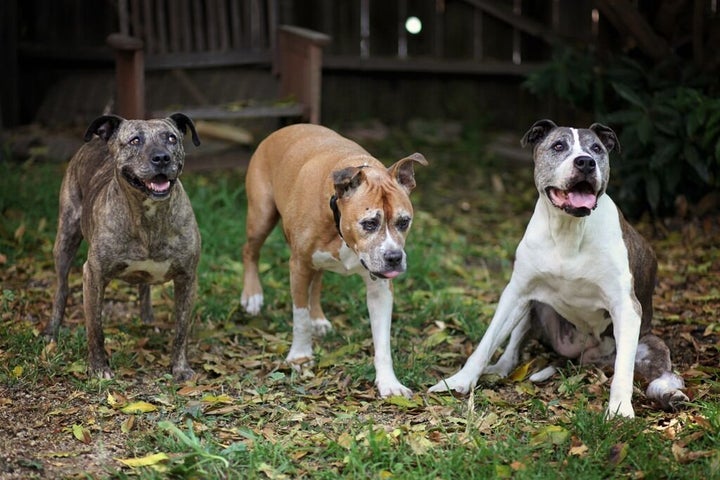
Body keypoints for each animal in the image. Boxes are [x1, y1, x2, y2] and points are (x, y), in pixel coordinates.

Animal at [242, 124, 424, 398]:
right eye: (369, 223)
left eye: (404, 222)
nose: (394, 257)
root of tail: (288, 128)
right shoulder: (298, 266)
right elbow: (300, 317)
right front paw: (300, 356)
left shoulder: (380, 288)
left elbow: (383, 342)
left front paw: (389, 382)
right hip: (261, 216)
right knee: (250, 251)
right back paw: (252, 295)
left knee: (316, 282)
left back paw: (318, 319)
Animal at [428, 119, 688, 416]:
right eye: (558, 146)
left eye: (596, 149)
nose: (585, 162)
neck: (568, 229)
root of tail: (591, 357)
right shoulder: (516, 292)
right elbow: (486, 343)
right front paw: (458, 382)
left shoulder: (626, 306)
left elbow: (624, 370)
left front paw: (620, 409)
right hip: (531, 308)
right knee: (512, 349)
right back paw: (499, 370)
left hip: (649, 344)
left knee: (660, 374)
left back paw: (669, 395)